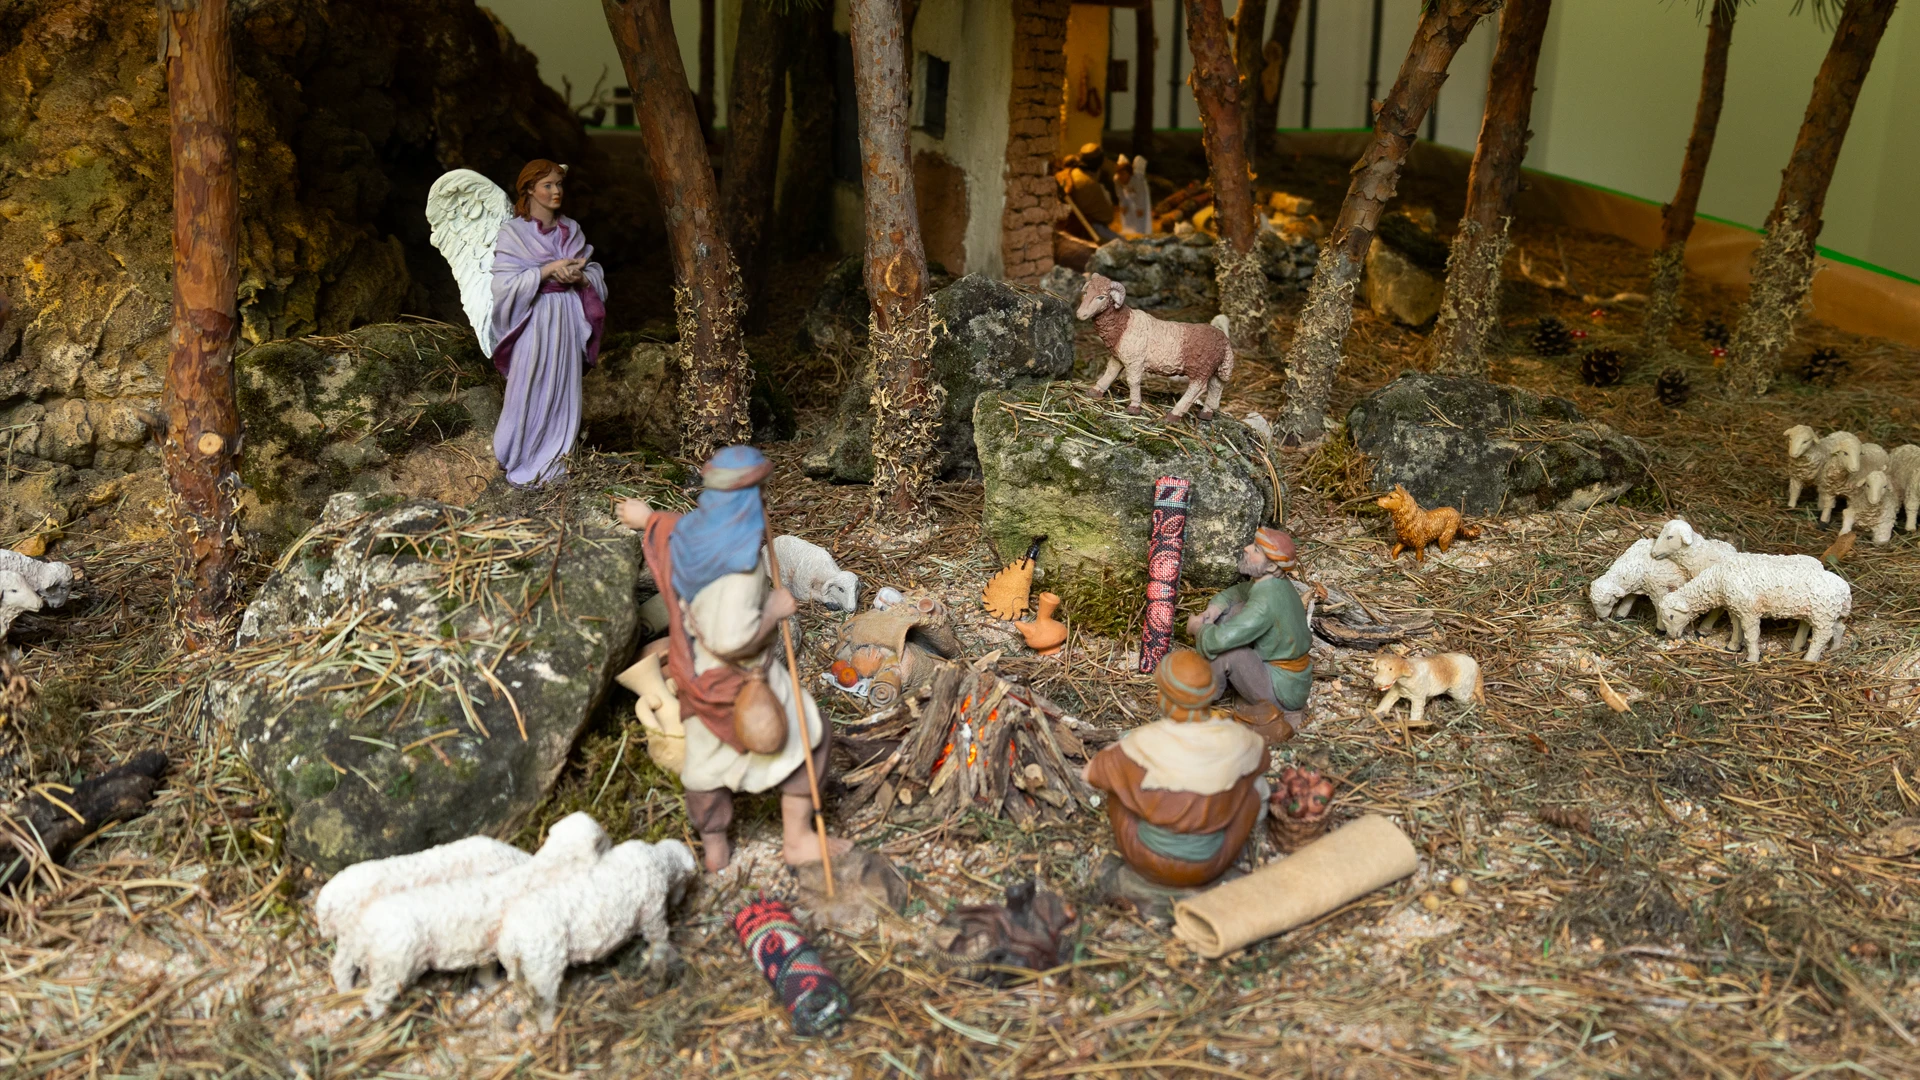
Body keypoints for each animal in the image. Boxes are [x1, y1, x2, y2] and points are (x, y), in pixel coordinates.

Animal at [495, 834, 698, 1022]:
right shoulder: (653, 912)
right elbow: (659, 937)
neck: (658, 860)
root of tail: (510, 940)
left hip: (519, 969)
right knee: (544, 1003)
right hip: (543, 971)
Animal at [1075, 270, 1236, 418]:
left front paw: (1134, 407)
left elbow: (1133, 382)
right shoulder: (1118, 357)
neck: (1123, 323)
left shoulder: (1135, 361)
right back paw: (1206, 413)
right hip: (1215, 368)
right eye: (1086, 292)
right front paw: (1095, 390)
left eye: (1101, 297)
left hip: (1201, 368)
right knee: (1216, 386)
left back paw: (1174, 415)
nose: (1080, 315)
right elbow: (1110, 373)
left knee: (1198, 388)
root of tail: (1224, 339)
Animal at [1651, 549, 1843, 661]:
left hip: (1822, 615)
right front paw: (1733, 647)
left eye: (1671, 616)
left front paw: (1752, 658)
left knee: (1822, 636)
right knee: (1836, 627)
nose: (1671, 636)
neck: (1718, 580)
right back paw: (1828, 648)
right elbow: (1737, 629)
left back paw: (1809, 659)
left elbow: (1751, 635)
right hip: (1819, 612)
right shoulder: (1736, 609)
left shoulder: (1750, 611)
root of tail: (1843, 587)